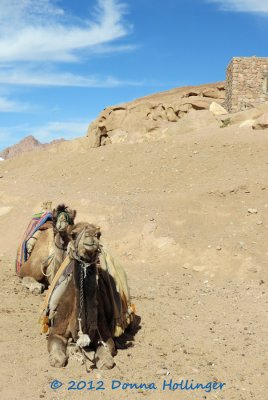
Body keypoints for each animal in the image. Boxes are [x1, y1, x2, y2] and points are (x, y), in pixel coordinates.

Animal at [46, 222, 134, 368]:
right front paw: (56, 359)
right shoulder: (57, 329)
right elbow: (56, 347)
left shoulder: (104, 335)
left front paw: (105, 360)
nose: (91, 235)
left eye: (99, 234)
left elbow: (106, 350)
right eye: (73, 234)